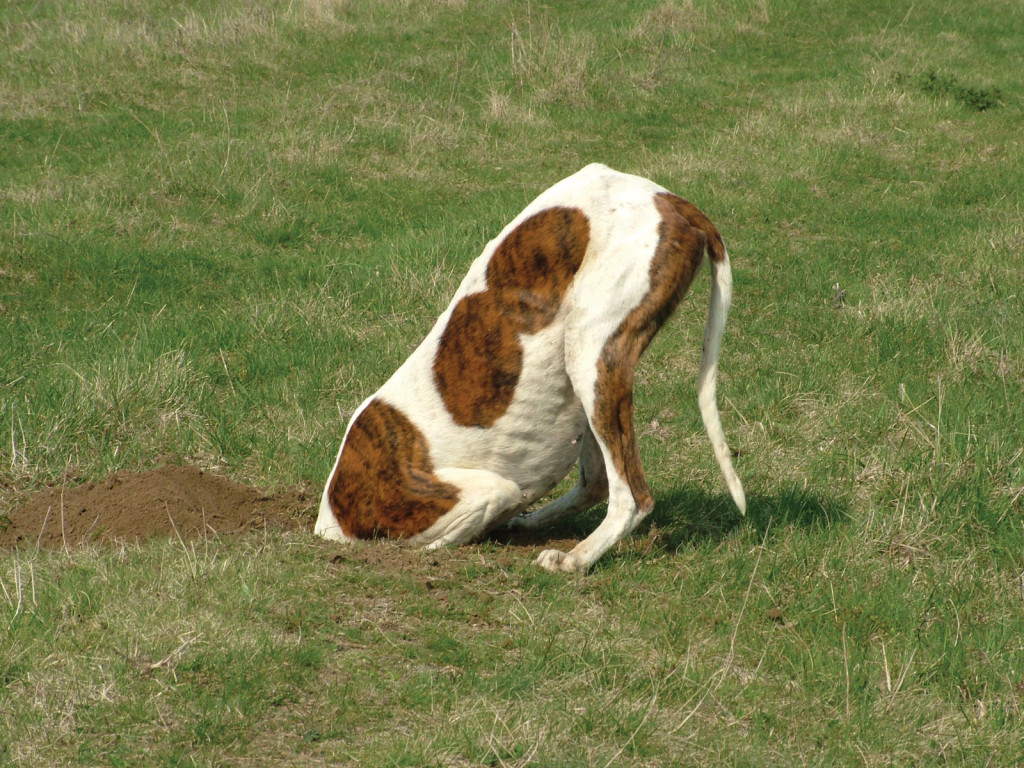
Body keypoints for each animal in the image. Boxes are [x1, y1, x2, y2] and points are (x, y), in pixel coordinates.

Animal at [315, 164, 745, 572]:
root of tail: (668, 198)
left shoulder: (474, 496)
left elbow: (450, 531)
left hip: (591, 354)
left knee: (631, 497)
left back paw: (576, 558)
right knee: (597, 483)